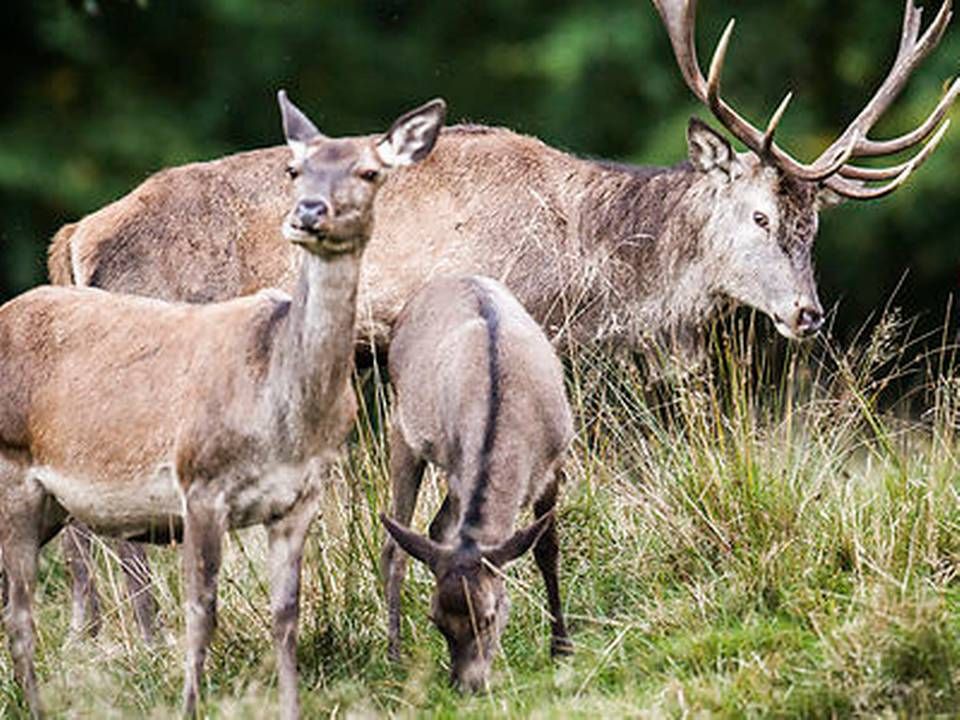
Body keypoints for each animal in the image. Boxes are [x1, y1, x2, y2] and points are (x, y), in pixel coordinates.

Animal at [0, 93, 444, 716]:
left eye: (369, 172)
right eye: (293, 169)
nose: (309, 213)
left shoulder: (299, 500)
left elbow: (286, 615)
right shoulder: (200, 487)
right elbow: (200, 613)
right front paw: (189, 704)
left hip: (50, 505)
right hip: (14, 475)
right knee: (21, 614)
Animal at [43, 1, 952, 648]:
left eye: (813, 227)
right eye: (760, 216)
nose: (808, 313)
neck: (581, 260)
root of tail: (76, 238)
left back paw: (97, 638)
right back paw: (145, 637)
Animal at [378, 276, 572, 692]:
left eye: (489, 615)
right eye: (436, 620)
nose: (467, 685)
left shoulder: (555, 460)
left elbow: (546, 548)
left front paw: (562, 647)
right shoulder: (456, 464)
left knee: (433, 529)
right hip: (401, 427)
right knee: (395, 546)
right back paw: (393, 654)